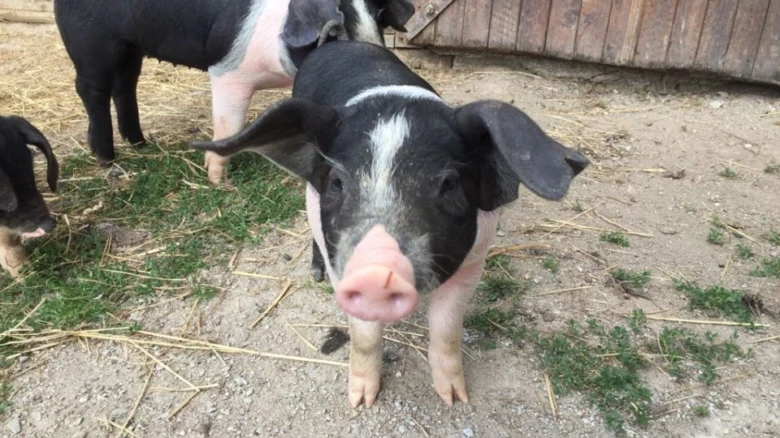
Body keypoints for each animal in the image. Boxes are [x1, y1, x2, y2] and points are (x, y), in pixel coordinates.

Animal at [53, 0, 414, 184]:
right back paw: (106, 159)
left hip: (131, 47)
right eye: (338, 28)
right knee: (92, 89)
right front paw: (217, 180)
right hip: (91, 42)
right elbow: (229, 124)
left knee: (125, 83)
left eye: (380, 19)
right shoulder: (227, 72)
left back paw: (141, 144)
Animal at [191, 41, 589, 407]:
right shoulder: (340, 260)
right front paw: (360, 402)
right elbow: (364, 336)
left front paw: (455, 398)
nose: (376, 268)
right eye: (337, 182)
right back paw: (314, 274)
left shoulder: (474, 259)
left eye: (448, 183)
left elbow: (447, 330)